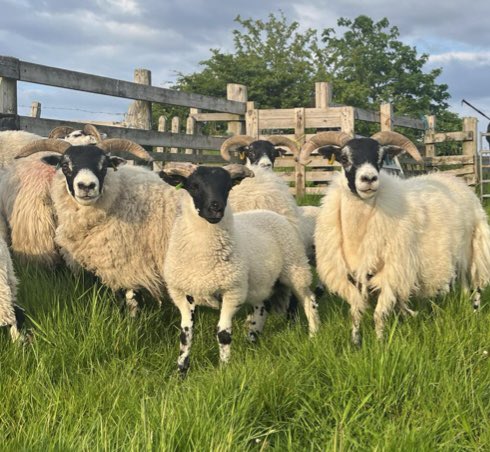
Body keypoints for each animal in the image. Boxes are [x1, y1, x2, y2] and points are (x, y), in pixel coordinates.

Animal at [161, 162, 322, 374]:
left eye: (227, 187)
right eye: (194, 186)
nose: (216, 208)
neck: (202, 258)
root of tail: (271, 212)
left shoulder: (232, 291)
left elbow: (223, 334)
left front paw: (223, 370)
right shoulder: (182, 295)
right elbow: (185, 336)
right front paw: (181, 371)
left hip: (295, 269)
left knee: (309, 301)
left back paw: (313, 334)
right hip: (260, 281)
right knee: (263, 307)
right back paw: (252, 339)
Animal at [302, 132, 490, 346]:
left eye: (381, 158)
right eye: (344, 158)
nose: (369, 178)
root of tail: (454, 179)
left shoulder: (392, 272)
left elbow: (379, 314)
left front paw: (380, 343)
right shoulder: (353, 274)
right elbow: (356, 312)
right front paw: (356, 342)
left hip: (474, 246)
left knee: (476, 285)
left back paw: (474, 313)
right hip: (459, 253)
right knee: (465, 284)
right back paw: (465, 307)